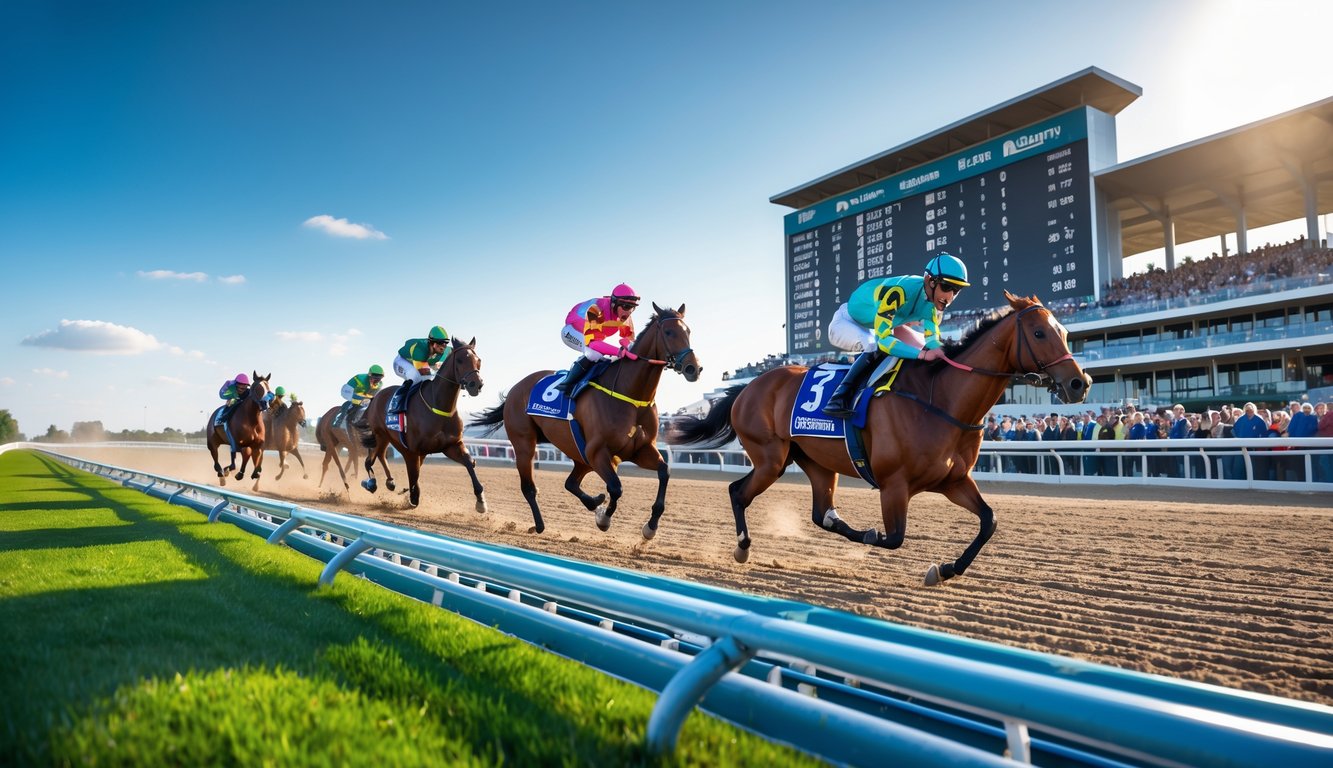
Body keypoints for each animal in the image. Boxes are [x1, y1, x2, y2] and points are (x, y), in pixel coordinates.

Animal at [359, 337, 485, 509]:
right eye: (459, 360)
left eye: (478, 360)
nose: (476, 384)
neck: (438, 406)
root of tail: (374, 398)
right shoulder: (412, 450)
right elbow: (414, 474)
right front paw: (413, 496)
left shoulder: (451, 445)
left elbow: (469, 462)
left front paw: (481, 500)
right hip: (379, 435)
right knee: (370, 460)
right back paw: (371, 483)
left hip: (388, 438)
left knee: (380, 455)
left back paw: (390, 482)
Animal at [470, 303, 701, 537]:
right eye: (669, 332)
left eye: (689, 331)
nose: (694, 368)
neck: (632, 396)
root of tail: (515, 389)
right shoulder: (598, 452)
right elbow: (616, 488)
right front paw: (604, 519)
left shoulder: (640, 449)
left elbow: (664, 472)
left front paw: (650, 527)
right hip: (526, 443)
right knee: (529, 487)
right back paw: (540, 525)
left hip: (579, 453)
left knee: (570, 483)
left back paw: (594, 503)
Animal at [668, 292, 1091, 586]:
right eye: (1039, 332)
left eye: (1065, 332)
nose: (1079, 383)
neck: (941, 399)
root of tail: (748, 386)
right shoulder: (894, 485)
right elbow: (893, 538)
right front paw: (880, 537)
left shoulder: (954, 481)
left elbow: (989, 521)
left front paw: (945, 569)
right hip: (771, 457)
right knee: (738, 492)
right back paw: (742, 548)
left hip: (815, 463)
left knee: (822, 514)